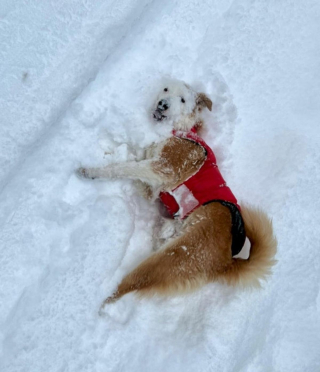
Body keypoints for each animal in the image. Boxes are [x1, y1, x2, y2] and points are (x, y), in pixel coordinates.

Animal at [76, 80, 276, 310]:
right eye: (165, 89)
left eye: (182, 100)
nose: (163, 104)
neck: (179, 130)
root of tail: (227, 261)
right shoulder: (152, 182)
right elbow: (134, 162)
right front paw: (111, 151)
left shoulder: (163, 168)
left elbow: (124, 167)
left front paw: (92, 171)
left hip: (171, 258)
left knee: (132, 283)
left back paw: (103, 305)